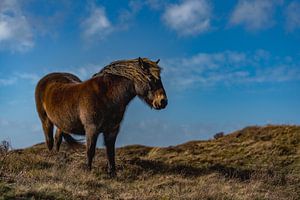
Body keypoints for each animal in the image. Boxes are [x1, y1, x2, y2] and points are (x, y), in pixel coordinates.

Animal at [34, 57, 169, 176]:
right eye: (150, 77)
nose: (163, 101)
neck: (106, 95)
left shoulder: (112, 130)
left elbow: (110, 152)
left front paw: (112, 174)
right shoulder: (91, 129)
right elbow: (90, 151)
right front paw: (88, 172)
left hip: (61, 123)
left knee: (57, 139)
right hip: (46, 121)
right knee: (49, 141)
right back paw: (51, 159)